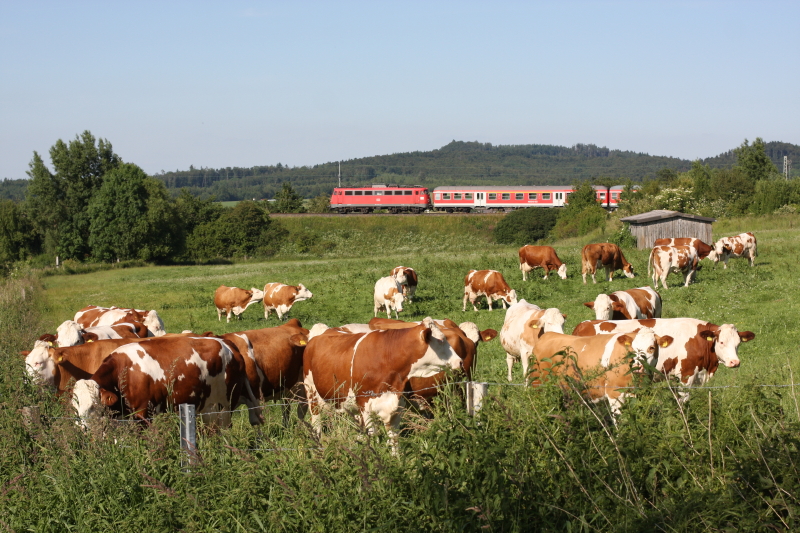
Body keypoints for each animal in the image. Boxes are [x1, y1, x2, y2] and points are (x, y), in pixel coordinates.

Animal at [73, 334, 256, 426]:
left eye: (92, 407)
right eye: (75, 408)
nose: (84, 429)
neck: (123, 373)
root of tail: (228, 343)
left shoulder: (143, 414)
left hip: (224, 406)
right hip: (207, 408)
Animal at [302, 318, 462, 450]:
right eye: (441, 340)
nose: (459, 361)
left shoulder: (396, 404)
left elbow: (394, 438)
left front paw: (397, 461)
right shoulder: (365, 406)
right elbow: (373, 436)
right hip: (311, 392)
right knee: (316, 422)